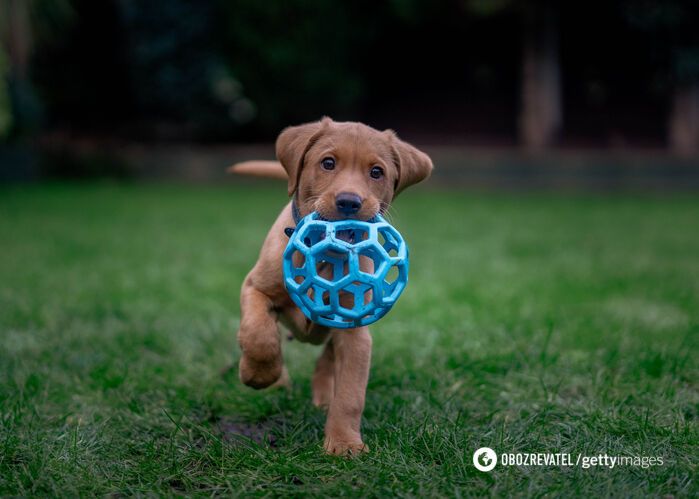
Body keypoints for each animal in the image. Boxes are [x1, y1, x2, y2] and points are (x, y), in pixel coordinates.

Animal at [232, 117, 434, 458]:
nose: (349, 202)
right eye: (328, 163)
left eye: (376, 172)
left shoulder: (356, 330)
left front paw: (344, 443)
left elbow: (351, 394)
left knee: (326, 359)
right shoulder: (255, 288)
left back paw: (323, 396)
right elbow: (259, 335)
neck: (327, 256)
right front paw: (259, 375)